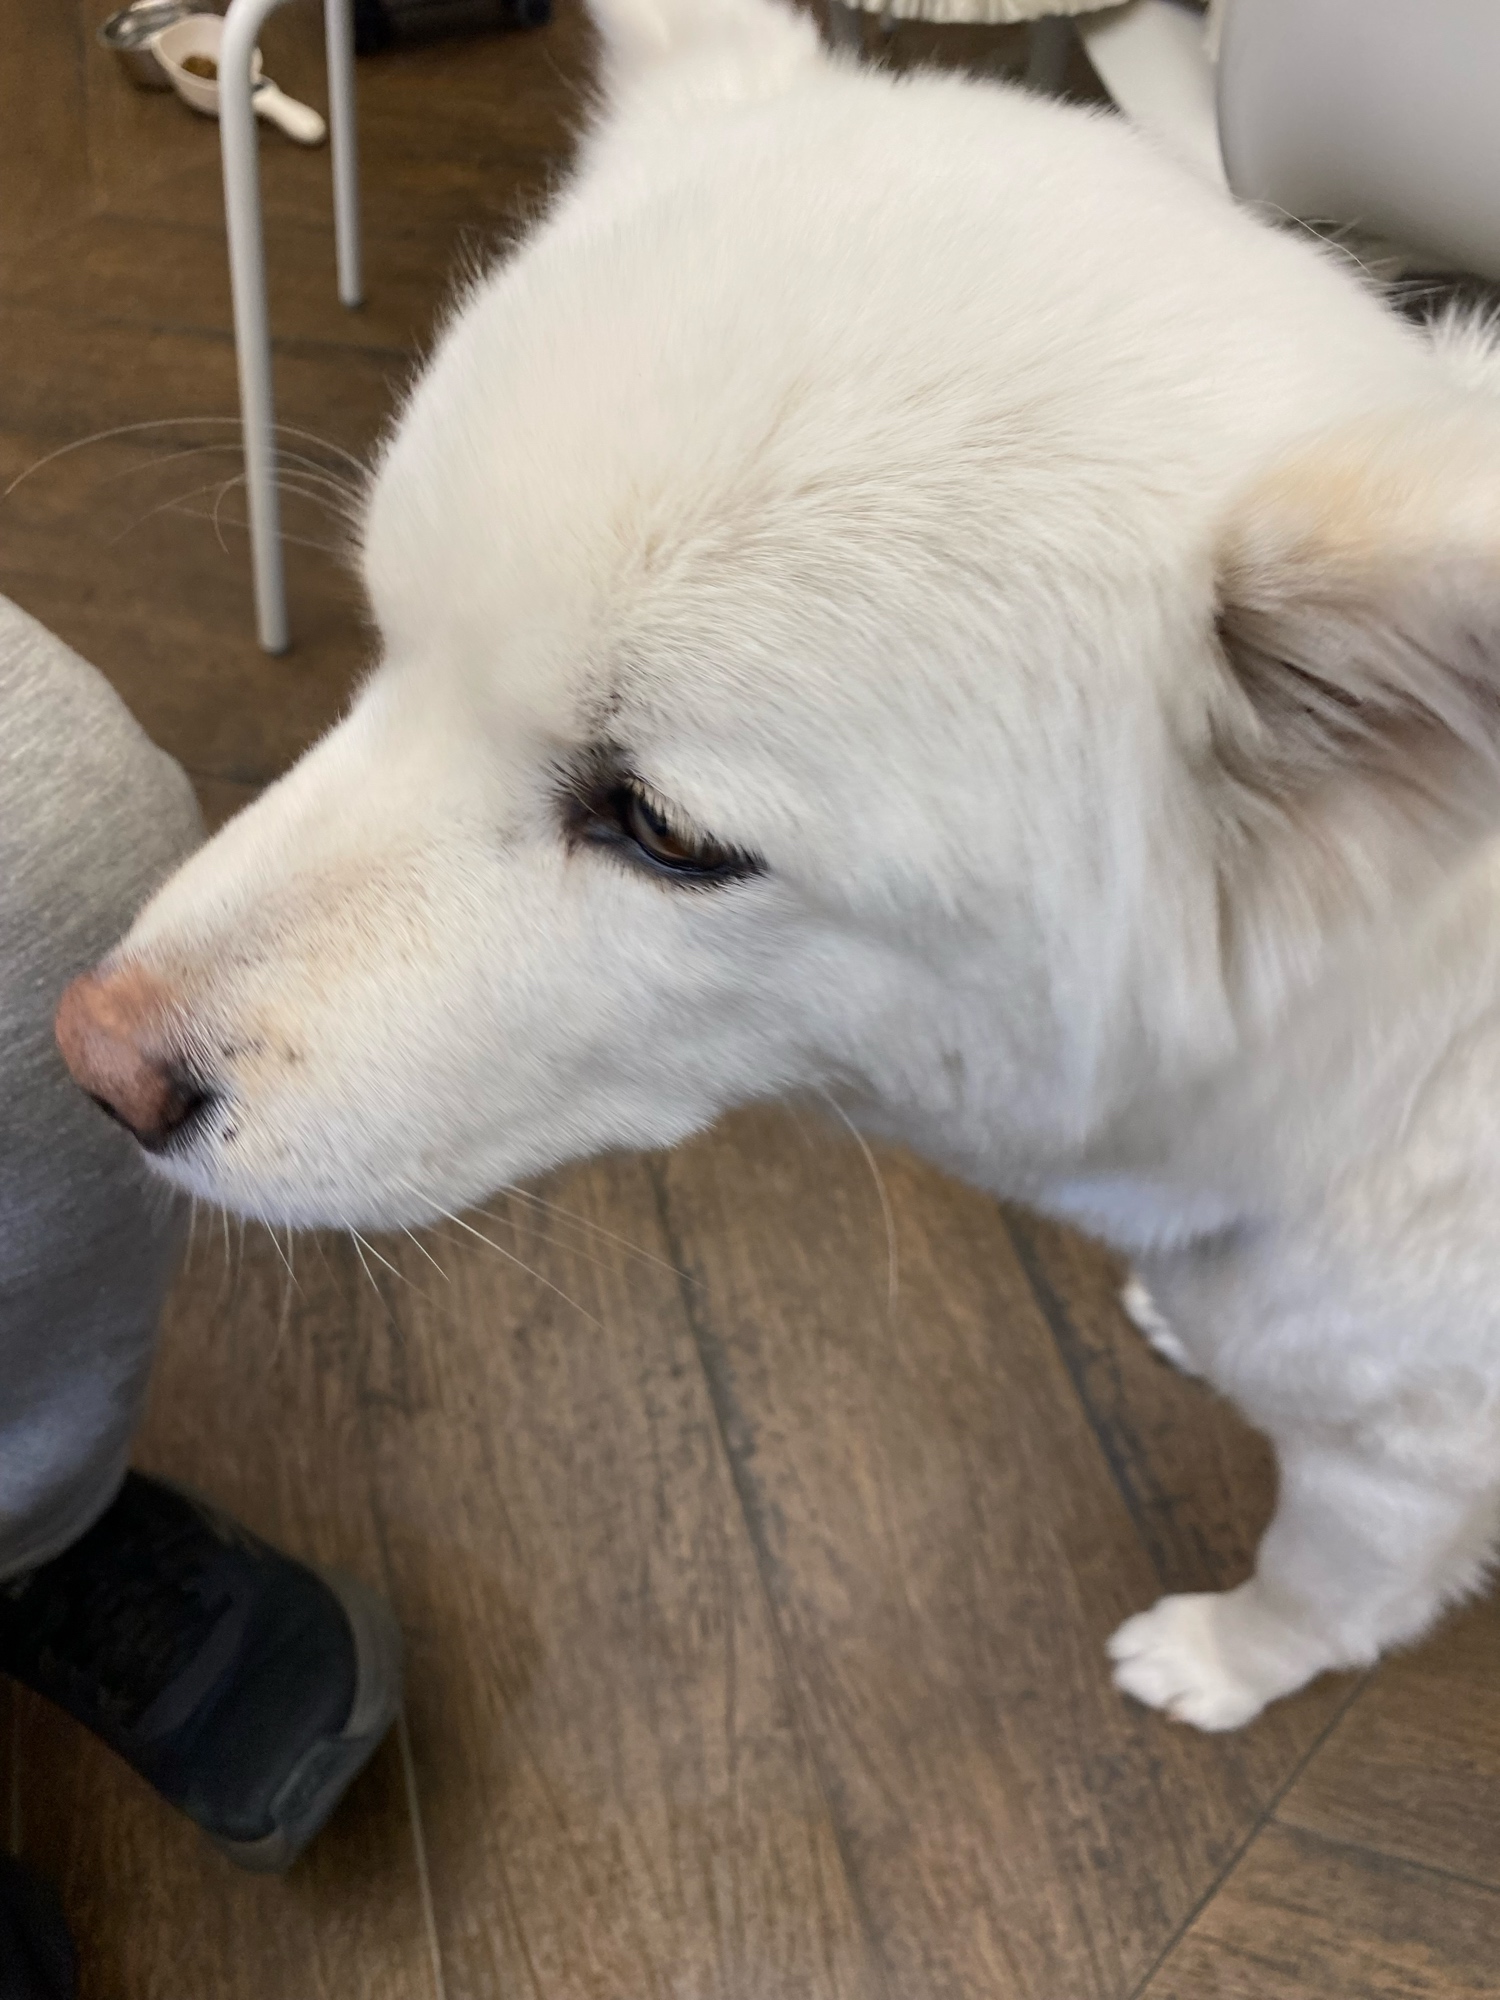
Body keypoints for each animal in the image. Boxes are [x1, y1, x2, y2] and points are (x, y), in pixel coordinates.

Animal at [56, 0, 1500, 1732]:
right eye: (392, 646)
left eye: (664, 833)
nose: (89, 1060)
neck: (1397, 1071)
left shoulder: (1397, 1477)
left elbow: (1317, 1589)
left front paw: (1222, 1665)